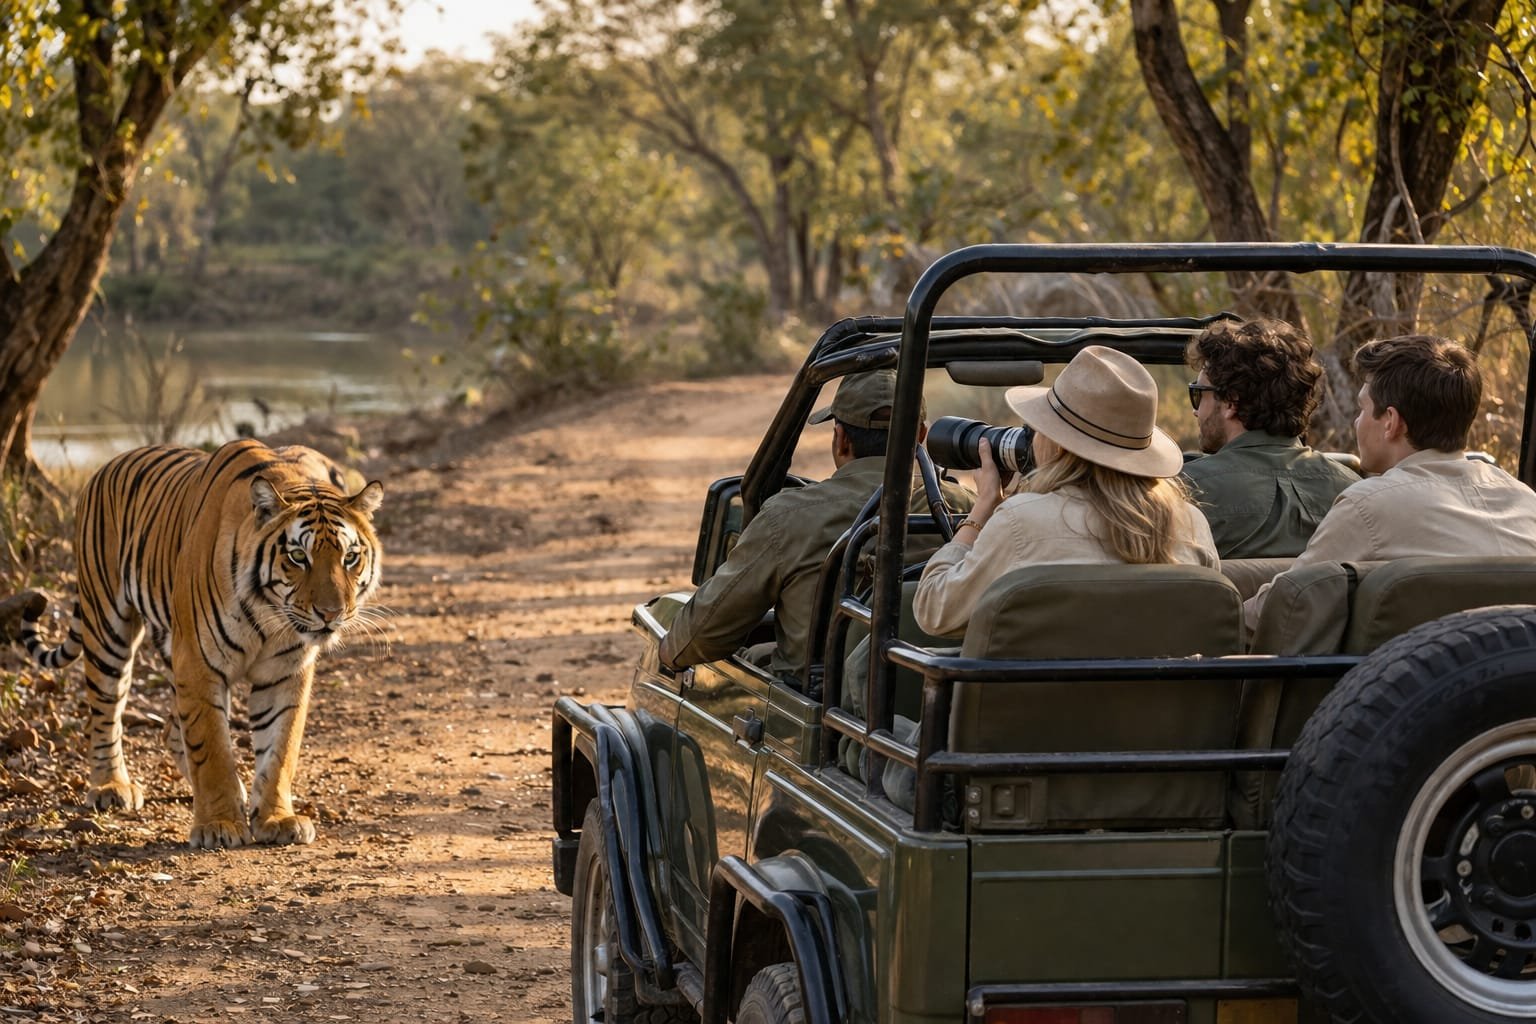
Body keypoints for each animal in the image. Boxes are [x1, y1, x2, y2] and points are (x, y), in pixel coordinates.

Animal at [16, 439, 383, 849]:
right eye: (298, 556)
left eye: (350, 557)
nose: (331, 613)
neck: (270, 615)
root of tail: (109, 463)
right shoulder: (199, 662)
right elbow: (212, 747)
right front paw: (219, 825)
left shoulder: (285, 672)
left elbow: (280, 748)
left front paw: (276, 819)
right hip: (107, 626)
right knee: (105, 711)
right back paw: (111, 787)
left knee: (171, 729)